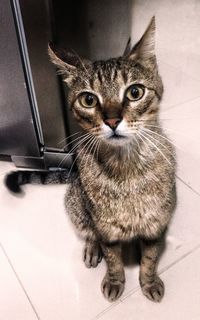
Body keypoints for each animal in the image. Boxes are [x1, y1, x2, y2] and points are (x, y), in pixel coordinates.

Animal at [4, 16, 176, 302]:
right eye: (88, 99)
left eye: (135, 92)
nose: (112, 120)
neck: (126, 171)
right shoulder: (105, 229)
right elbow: (113, 259)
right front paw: (115, 280)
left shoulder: (156, 225)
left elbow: (150, 258)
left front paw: (149, 281)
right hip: (76, 206)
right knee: (88, 233)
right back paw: (91, 249)